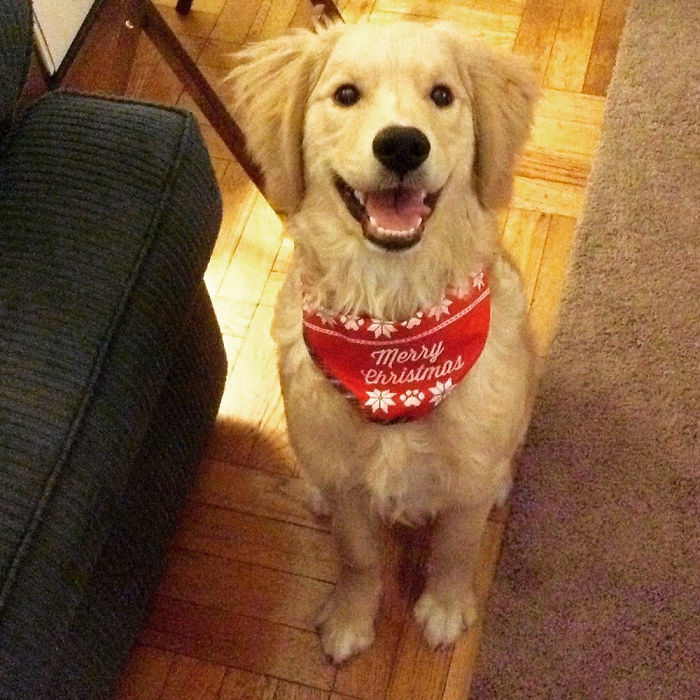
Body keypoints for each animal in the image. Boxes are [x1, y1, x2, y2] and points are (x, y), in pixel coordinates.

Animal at [227, 19, 540, 664]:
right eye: (346, 95)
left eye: (442, 95)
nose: (401, 145)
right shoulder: (349, 486)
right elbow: (358, 557)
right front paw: (350, 618)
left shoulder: (466, 477)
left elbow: (455, 550)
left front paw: (444, 609)